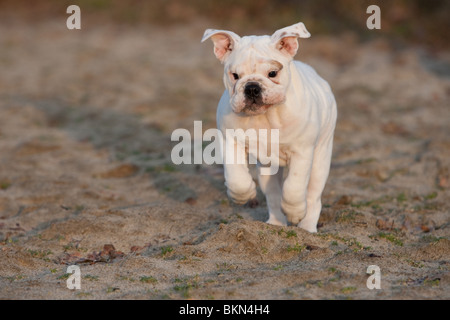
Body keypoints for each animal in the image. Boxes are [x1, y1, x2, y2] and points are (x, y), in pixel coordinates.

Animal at [202, 23, 336, 232]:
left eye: (272, 73)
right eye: (235, 76)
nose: (252, 87)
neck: (266, 116)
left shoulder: (302, 151)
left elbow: (294, 186)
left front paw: (295, 212)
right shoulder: (230, 141)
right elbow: (236, 177)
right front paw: (243, 194)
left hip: (321, 158)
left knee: (313, 195)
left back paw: (306, 227)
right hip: (267, 169)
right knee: (272, 195)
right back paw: (275, 224)